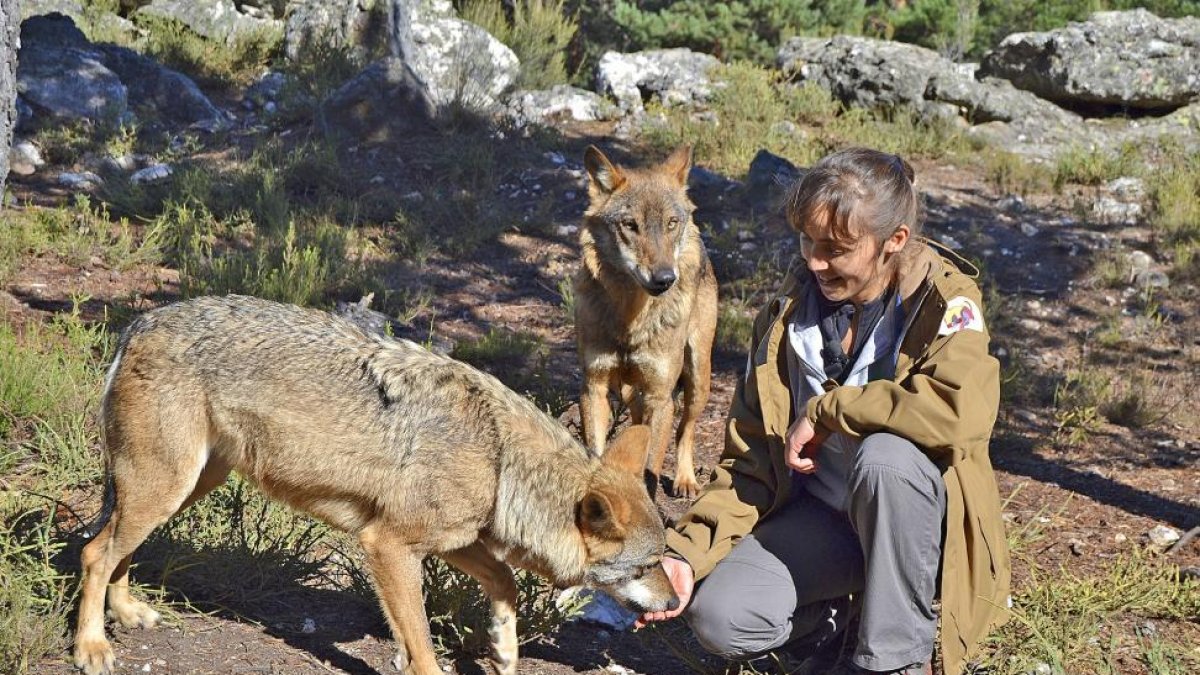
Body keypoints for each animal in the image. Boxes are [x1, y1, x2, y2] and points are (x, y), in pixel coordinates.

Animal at [73, 295, 678, 675]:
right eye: (648, 566)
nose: (675, 603)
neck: (499, 458)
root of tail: (141, 321)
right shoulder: (387, 546)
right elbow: (424, 649)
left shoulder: (452, 542)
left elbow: (504, 581)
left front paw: (505, 651)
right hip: (164, 489)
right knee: (94, 552)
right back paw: (92, 647)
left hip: (180, 489)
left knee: (118, 549)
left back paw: (126, 613)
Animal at [573, 144, 719, 499]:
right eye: (630, 224)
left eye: (671, 223)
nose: (665, 278)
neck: (631, 320)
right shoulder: (594, 387)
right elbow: (598, 453)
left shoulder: (660, 396)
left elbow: (651, 469)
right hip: (628, 391)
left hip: (698, 378)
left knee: (686, 430)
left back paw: (685, 480)